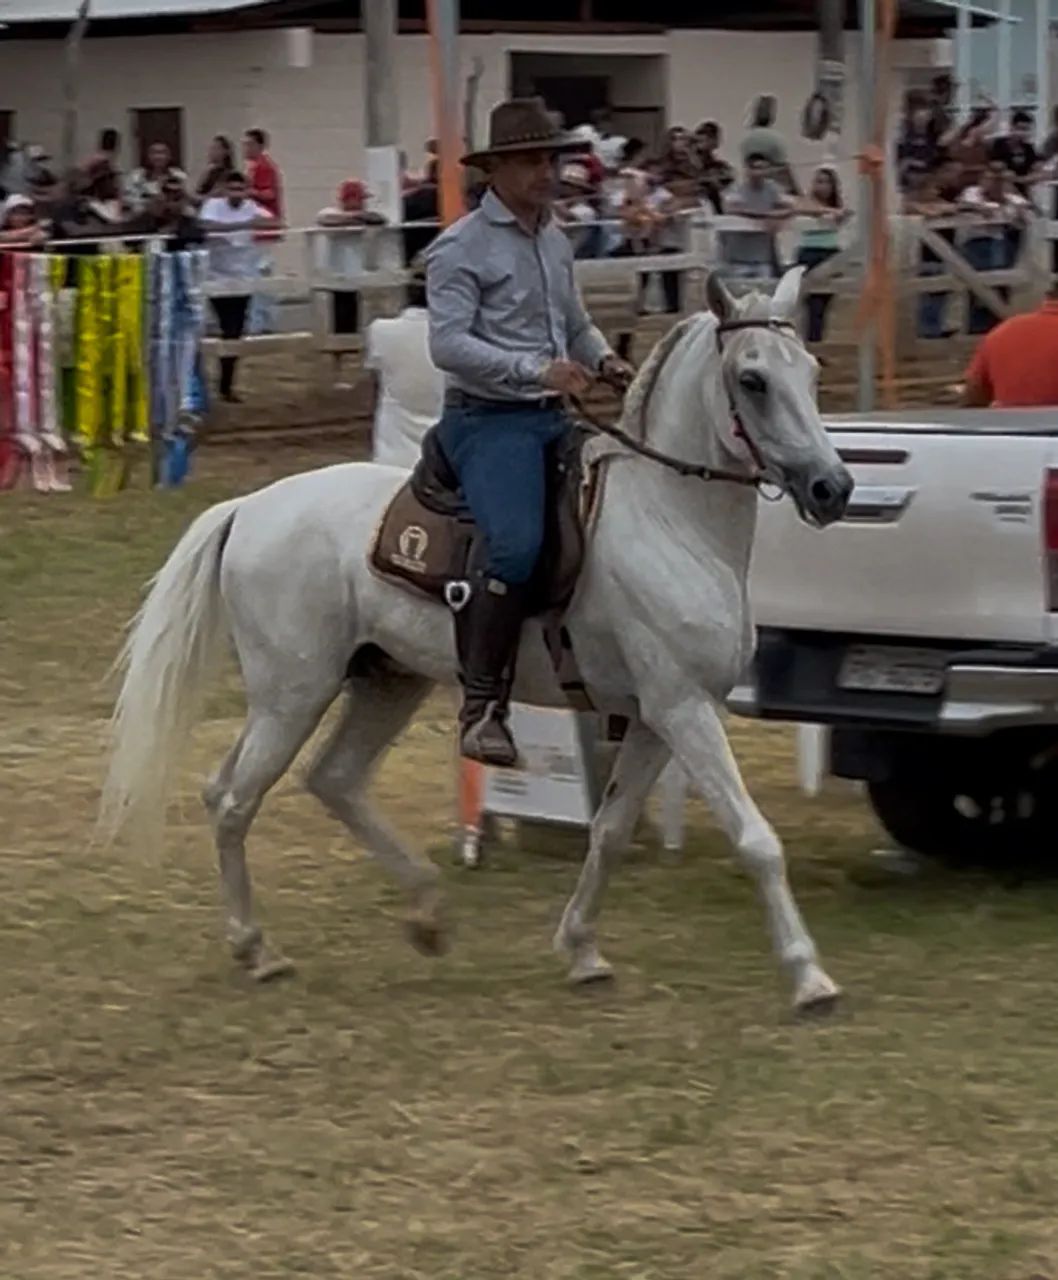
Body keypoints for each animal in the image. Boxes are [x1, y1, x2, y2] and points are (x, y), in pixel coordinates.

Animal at [101, 268, 854, 1013]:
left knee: (330, 780)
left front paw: (582, 949)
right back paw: (257, 949)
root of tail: (249, 508)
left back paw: (428, 913)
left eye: (811, 371)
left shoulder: (653, 719)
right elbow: (755, 838)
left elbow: (609, 833)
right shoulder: (684, 710)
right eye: (753, 379)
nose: (833, 487)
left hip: (386, 683)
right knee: (233, 800)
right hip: (291, 697)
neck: (666, 517)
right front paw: (809, 975)